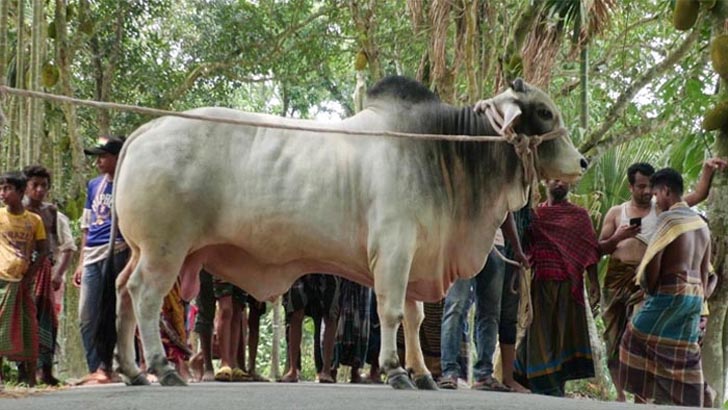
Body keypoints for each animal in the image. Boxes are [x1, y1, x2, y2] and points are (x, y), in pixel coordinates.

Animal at [115, 76, 592, 388]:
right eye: (545, 111)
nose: (584, 162)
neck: (443, 151)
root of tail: (145, 130)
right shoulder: (395, 248)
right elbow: (392, 313)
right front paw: (396, 372)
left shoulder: (417, 256)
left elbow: (415, 319)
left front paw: (422, 374)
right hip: (164, 250)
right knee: (144, 295)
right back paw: (161, 368)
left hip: (142, 251)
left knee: (121, 290)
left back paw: (133, 370)